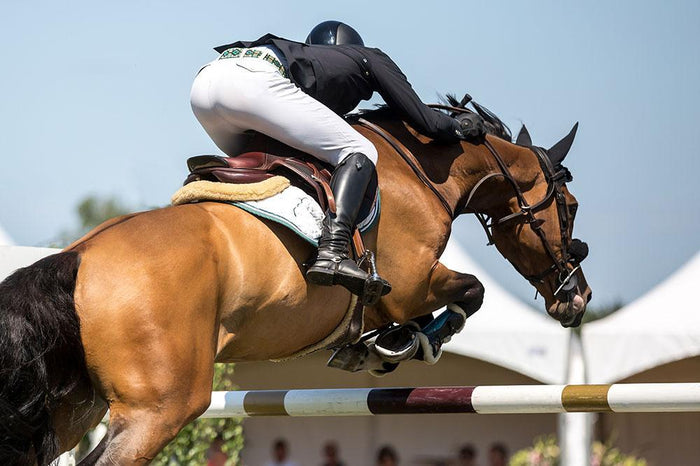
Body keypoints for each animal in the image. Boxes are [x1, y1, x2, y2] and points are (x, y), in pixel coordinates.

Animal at [0, 103, 591, 465]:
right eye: (570, 206)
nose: (577, 297)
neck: (420, 171)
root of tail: (78, 257)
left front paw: (377, 345)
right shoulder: (410, 283)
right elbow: (471, 291)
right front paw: (409, 341)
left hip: (77, 408)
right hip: (160, 410)